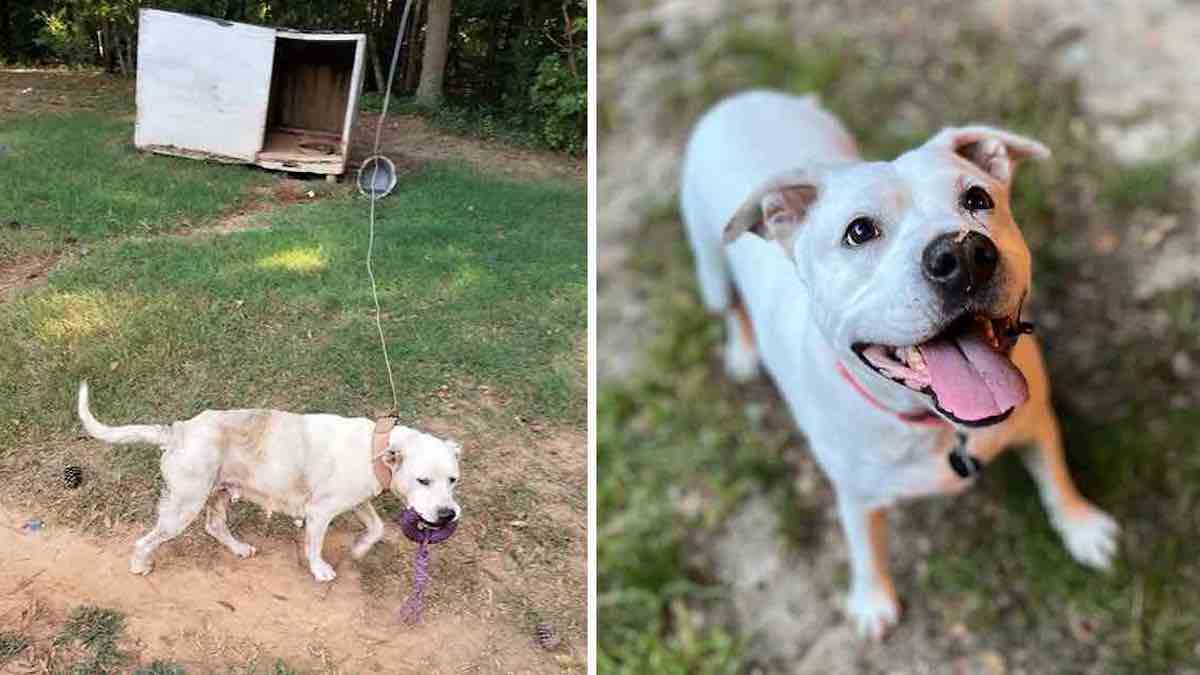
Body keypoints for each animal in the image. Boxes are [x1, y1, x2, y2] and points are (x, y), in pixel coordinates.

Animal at [75, 381, 458, 581]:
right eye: (423, 480)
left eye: (453, 480)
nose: (447, 515)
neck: (375, 448)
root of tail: (178, 431)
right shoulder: (321, 512)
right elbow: (314, 545)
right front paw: (320, 570)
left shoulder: (358, 501)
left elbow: (376, 528)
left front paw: (360, 549)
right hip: (183, 506)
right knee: (145, 541)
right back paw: (140, 566)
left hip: (218, 494)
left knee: (215, 526)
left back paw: (239, 548)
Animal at [681, 89, 1118, 634]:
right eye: (858, 231)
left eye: (978, 199)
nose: (963, 254)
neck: (935, 426)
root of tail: (744, 97)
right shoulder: (856, 498)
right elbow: (866, 549)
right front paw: (872, 602)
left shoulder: (1037, 423)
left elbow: (1056, 480)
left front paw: (1081, 527)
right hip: (711, 269)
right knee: (731, 307)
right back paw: (742, 350)